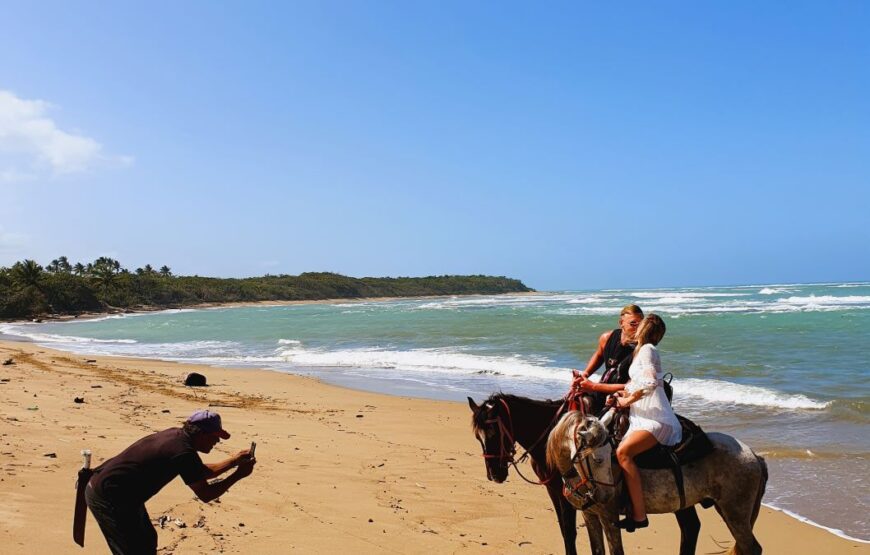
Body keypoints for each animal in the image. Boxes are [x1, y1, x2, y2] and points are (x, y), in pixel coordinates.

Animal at [470, 394, 700, 555]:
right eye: (477, 437)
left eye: (493, 433)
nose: (494, 474)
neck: (552, 435)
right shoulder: (554, 490)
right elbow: (565, 531)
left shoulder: (568, 494)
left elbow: (570, 531)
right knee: (691, 527)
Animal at [548, 410, 768, 552]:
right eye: (597, 459)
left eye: (603, 458)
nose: (605, 496)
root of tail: (755, 456)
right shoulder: (590, 515)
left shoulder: (609, 517)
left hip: (735, 513)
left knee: (751, 548)